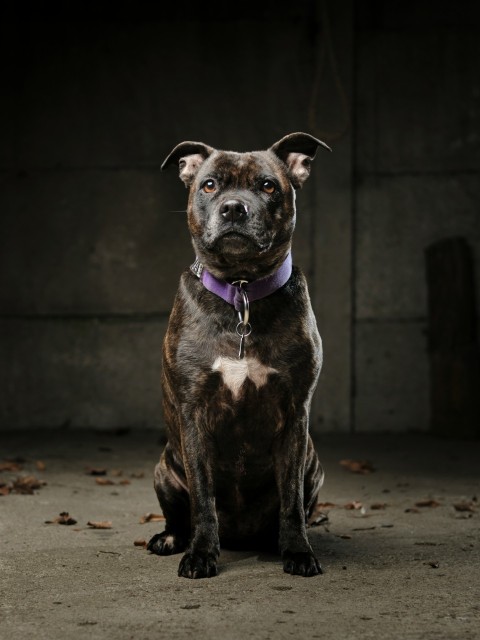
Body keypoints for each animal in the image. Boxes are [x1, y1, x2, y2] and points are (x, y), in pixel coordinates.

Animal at [148, 132, 332, 576]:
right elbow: (203, 498)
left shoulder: (295, 416)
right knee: (180, 514)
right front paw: (200, 553)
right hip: (165, 468)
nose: (233, 207)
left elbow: (291, 502)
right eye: (209, 185)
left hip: (313, 466)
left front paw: (298, 551)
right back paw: (171, 539)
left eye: (267, 186)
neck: (241, 292)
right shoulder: (194, 414)